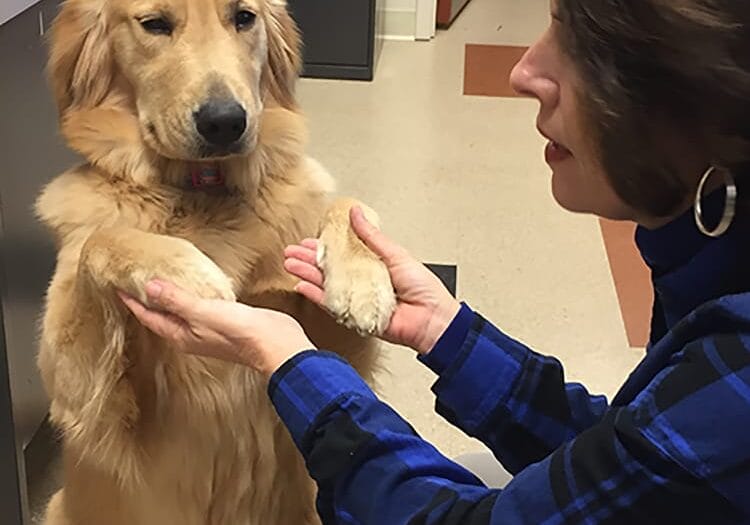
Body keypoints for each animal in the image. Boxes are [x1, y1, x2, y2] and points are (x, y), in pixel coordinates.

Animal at [33, 2, 400, 520]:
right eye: (155, 24)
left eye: (244, 17)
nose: (225, 122)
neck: (201, 189)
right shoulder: (88, 399)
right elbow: (102, 239)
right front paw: (188, 273)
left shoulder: (336, 352)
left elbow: (348, 205)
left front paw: (361, 283)